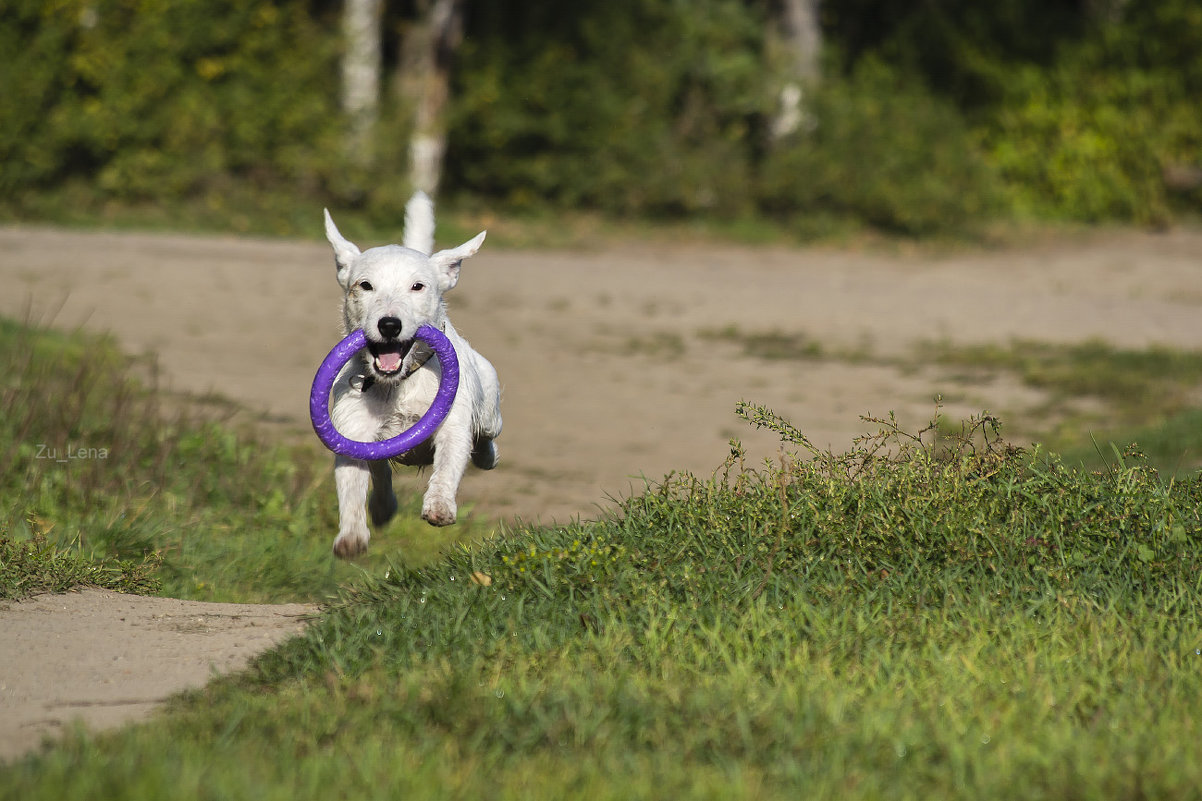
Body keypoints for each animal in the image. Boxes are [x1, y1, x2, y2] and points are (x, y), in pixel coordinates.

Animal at [322, 192, 500, 555]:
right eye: (365, 285)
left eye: (417, 286)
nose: (389, 324)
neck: (400, 383)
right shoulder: (353, 433)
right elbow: (351, 484)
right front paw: (351, 536)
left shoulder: (452, 425)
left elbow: (448, 463)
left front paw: (439, 506)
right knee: (381, 475)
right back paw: (381, 508)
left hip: (490, 409)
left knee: (488, 435)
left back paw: (487, 456)